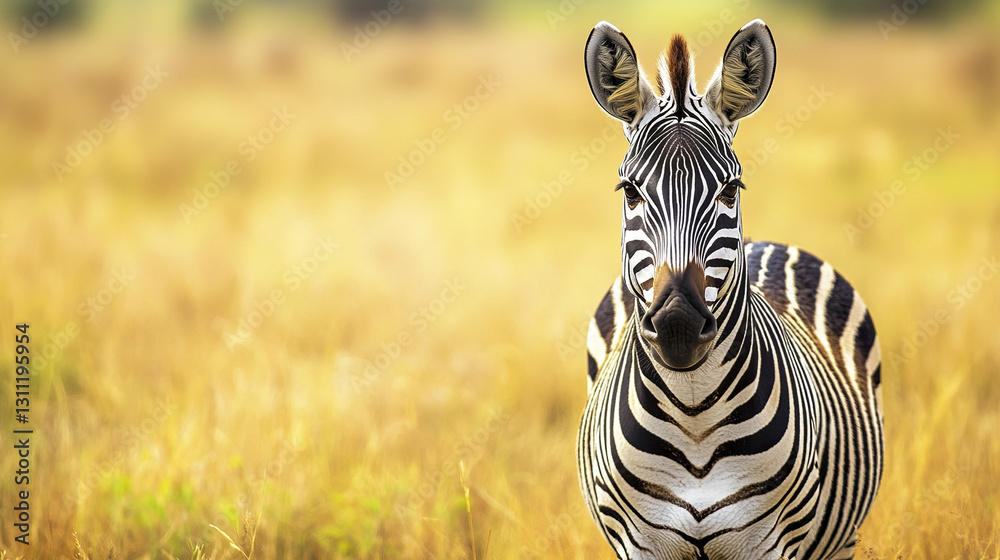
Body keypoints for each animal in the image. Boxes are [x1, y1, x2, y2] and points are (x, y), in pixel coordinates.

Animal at [576, 19, 884, 560]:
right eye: (630, 191)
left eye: (730, 190)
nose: (677, 325)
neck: (694, 416)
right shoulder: (638, 544)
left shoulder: (772, 543)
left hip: (842, 538)